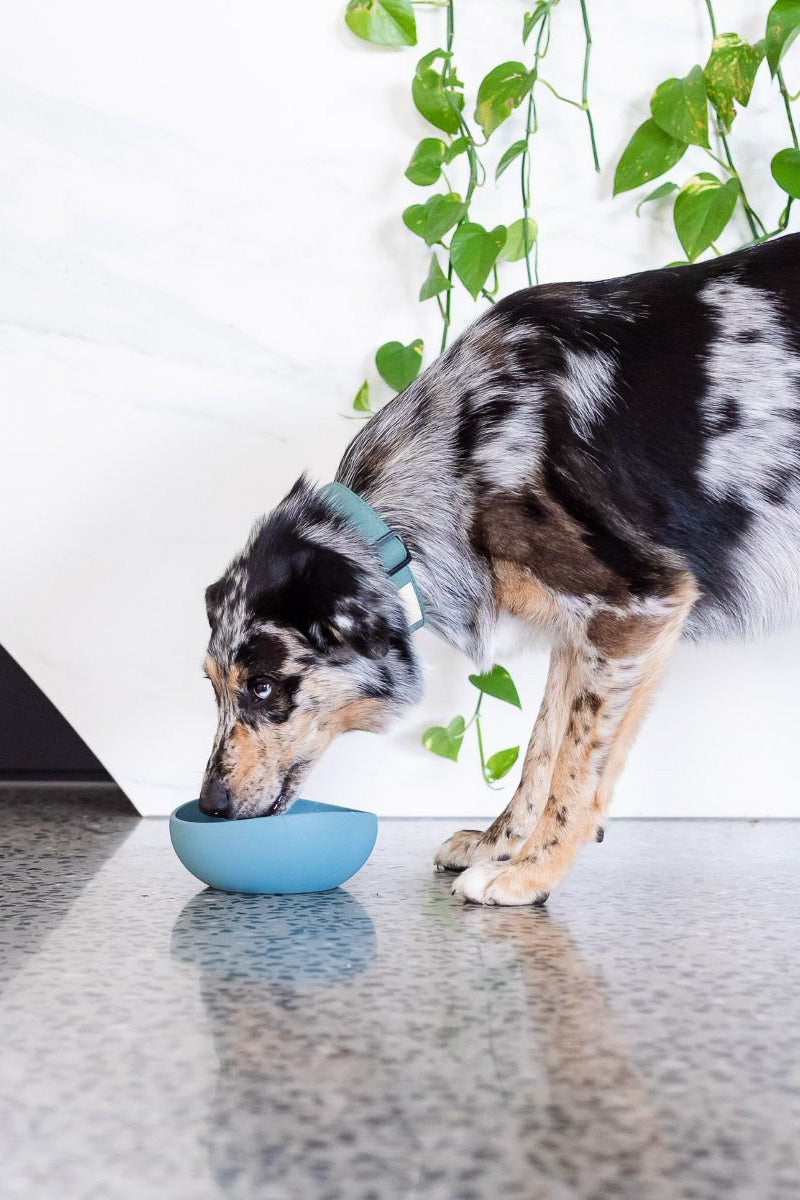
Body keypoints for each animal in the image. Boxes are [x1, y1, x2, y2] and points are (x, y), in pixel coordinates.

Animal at [199, 234, 800, 902]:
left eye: (262, 687)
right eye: (210, 683)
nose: (210, 806)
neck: (462, 455)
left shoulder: (639, 604)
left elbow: (576, 769)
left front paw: (530, 873)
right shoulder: (581, 630)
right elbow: (542, 749)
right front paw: (497, 845)